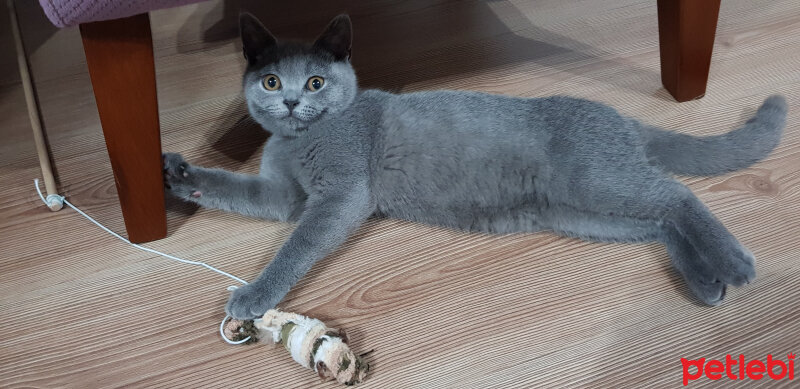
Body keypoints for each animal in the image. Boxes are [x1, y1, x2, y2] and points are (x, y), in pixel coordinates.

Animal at [162, 13, 788, 320]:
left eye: (315, 81)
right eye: (271, 81)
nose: (292, 100)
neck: (300, 140)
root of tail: (622, 119)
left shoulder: (339, 194)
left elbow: (295, 248)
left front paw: (254, 296)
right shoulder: (283, 196)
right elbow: (231, 188)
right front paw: (177, 175)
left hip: (597, 182)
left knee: (679, 197)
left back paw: (734, 265)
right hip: (585, 212)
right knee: (661, 220)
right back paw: (706, 282)